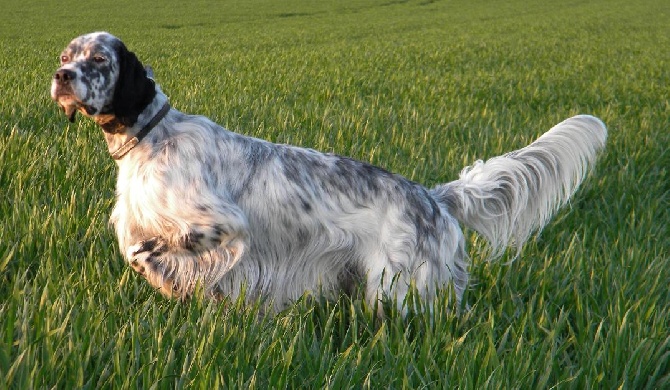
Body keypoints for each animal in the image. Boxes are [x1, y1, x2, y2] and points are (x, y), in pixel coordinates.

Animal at [51, 32, 608, 314]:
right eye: (65, 56)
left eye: (98, 60)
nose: (60, 76)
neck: (153, 137)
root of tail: (433, 198)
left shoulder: (222, 225)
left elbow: (145, 252)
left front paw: (171, 279)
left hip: (397, 287)